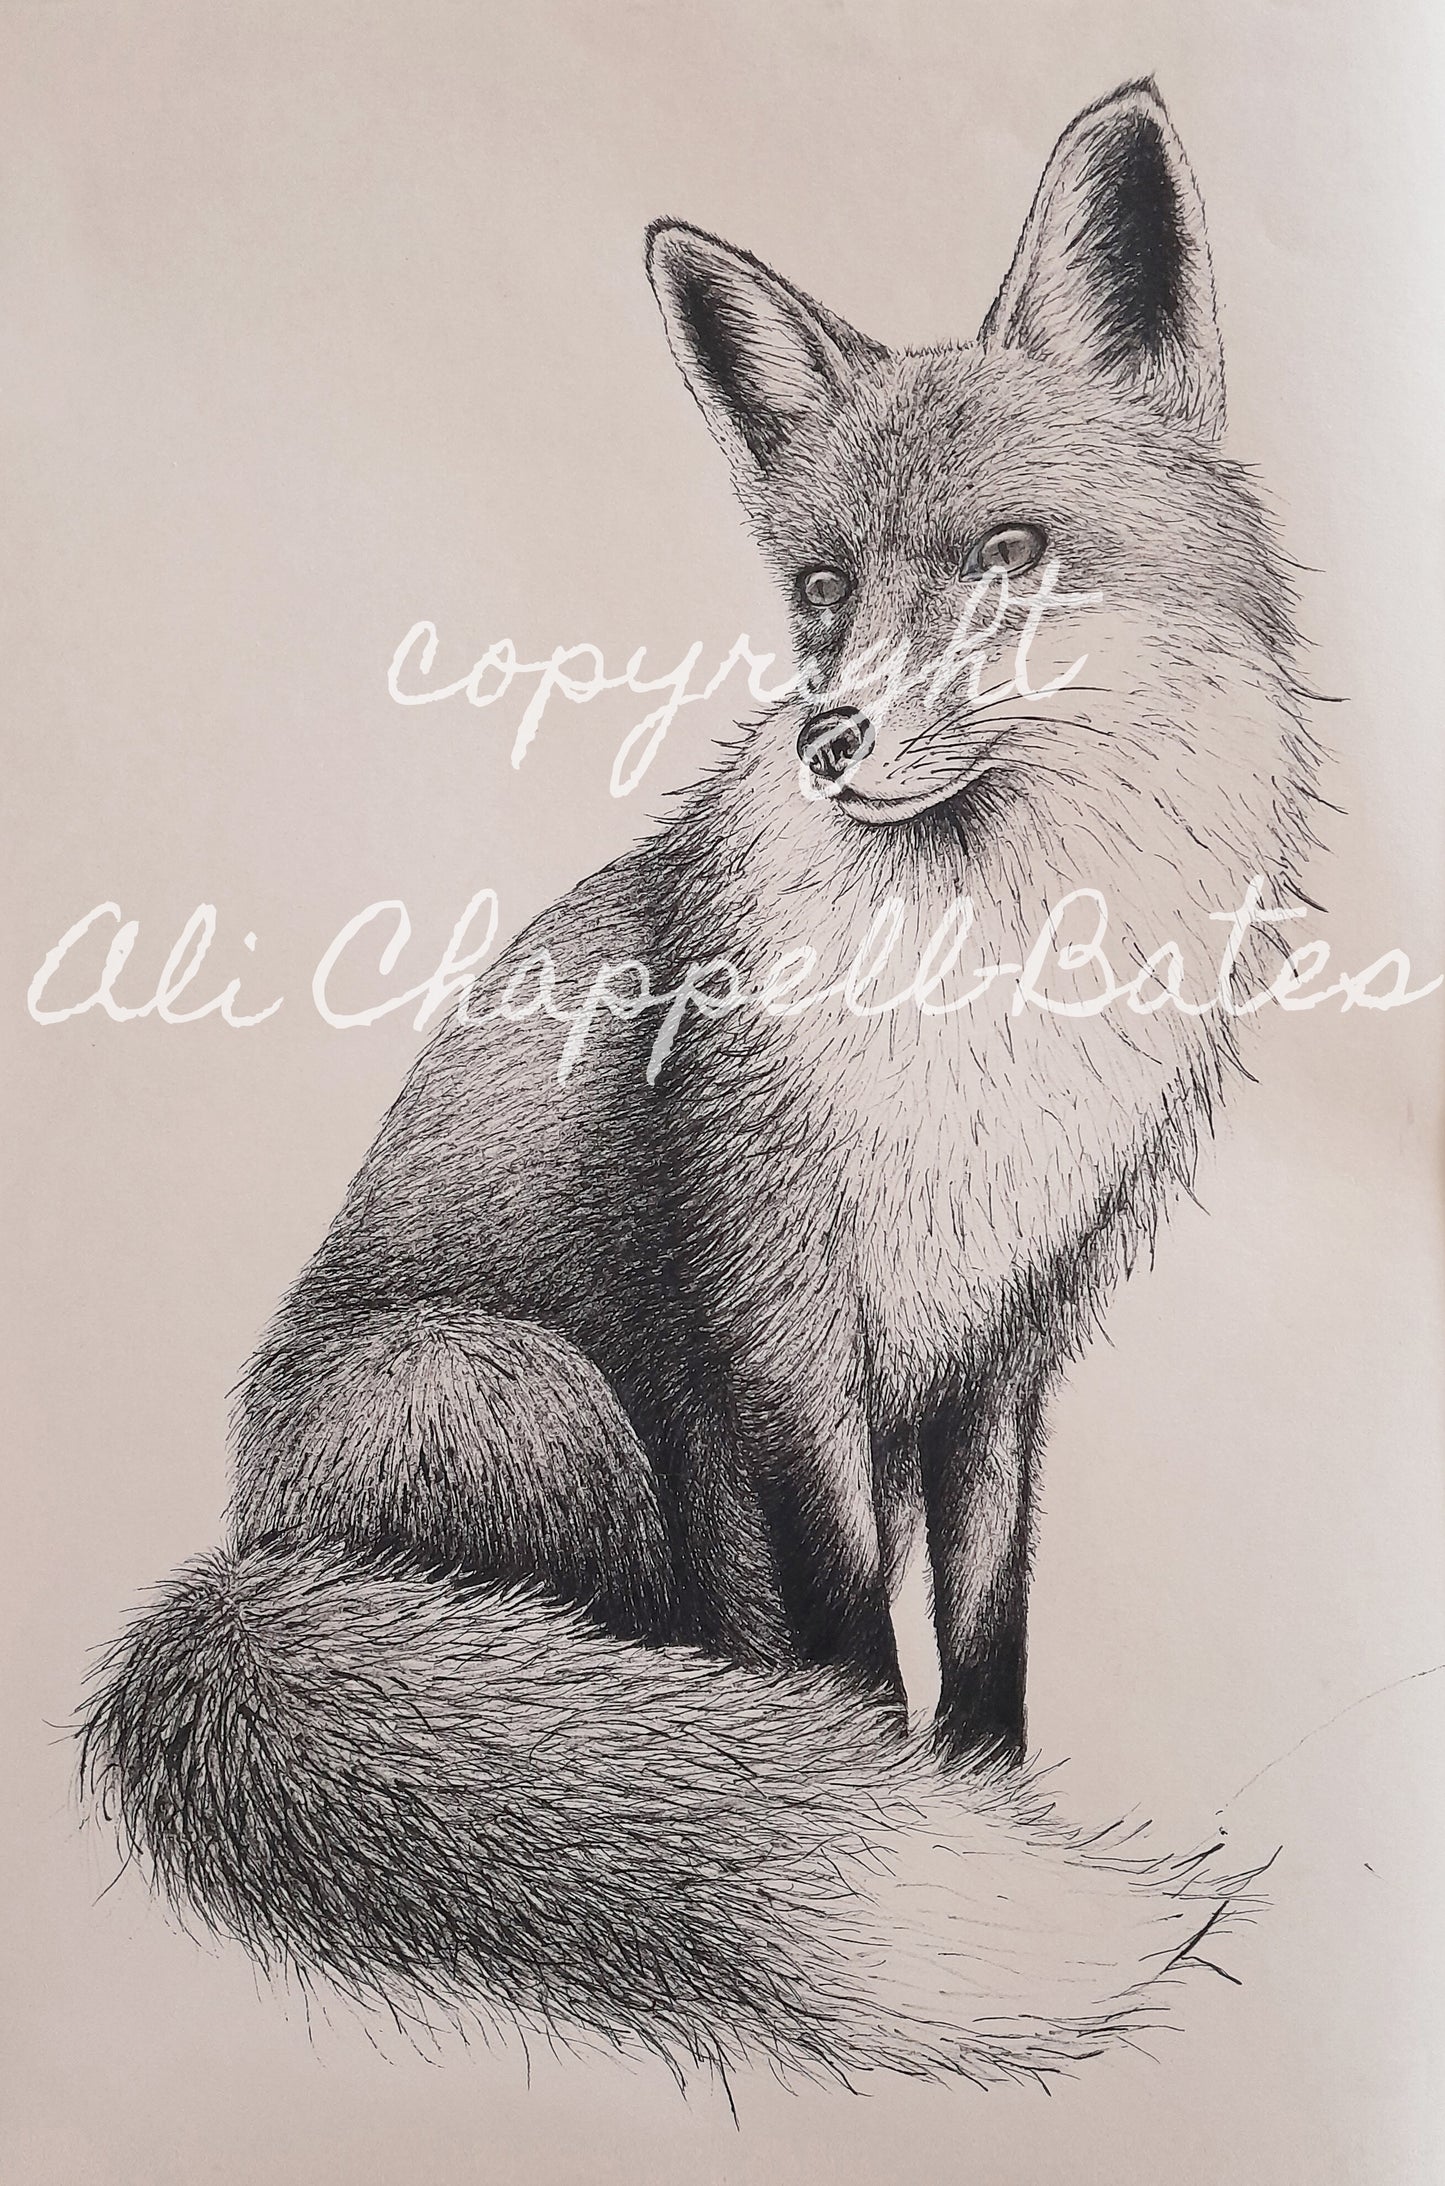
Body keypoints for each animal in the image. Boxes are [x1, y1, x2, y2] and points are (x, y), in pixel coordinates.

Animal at [80, 81, 1319, 2085]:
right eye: (820, 588)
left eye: (1007, 552)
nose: (830, 738)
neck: (984, 1003)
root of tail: (245, 1557)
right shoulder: (767, 1331)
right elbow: (842, 1633)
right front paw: (868, 1799)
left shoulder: (1003, 1349)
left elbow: (985, 1633)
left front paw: (988, 1808)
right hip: (533, 1397)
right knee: (611, 1631)